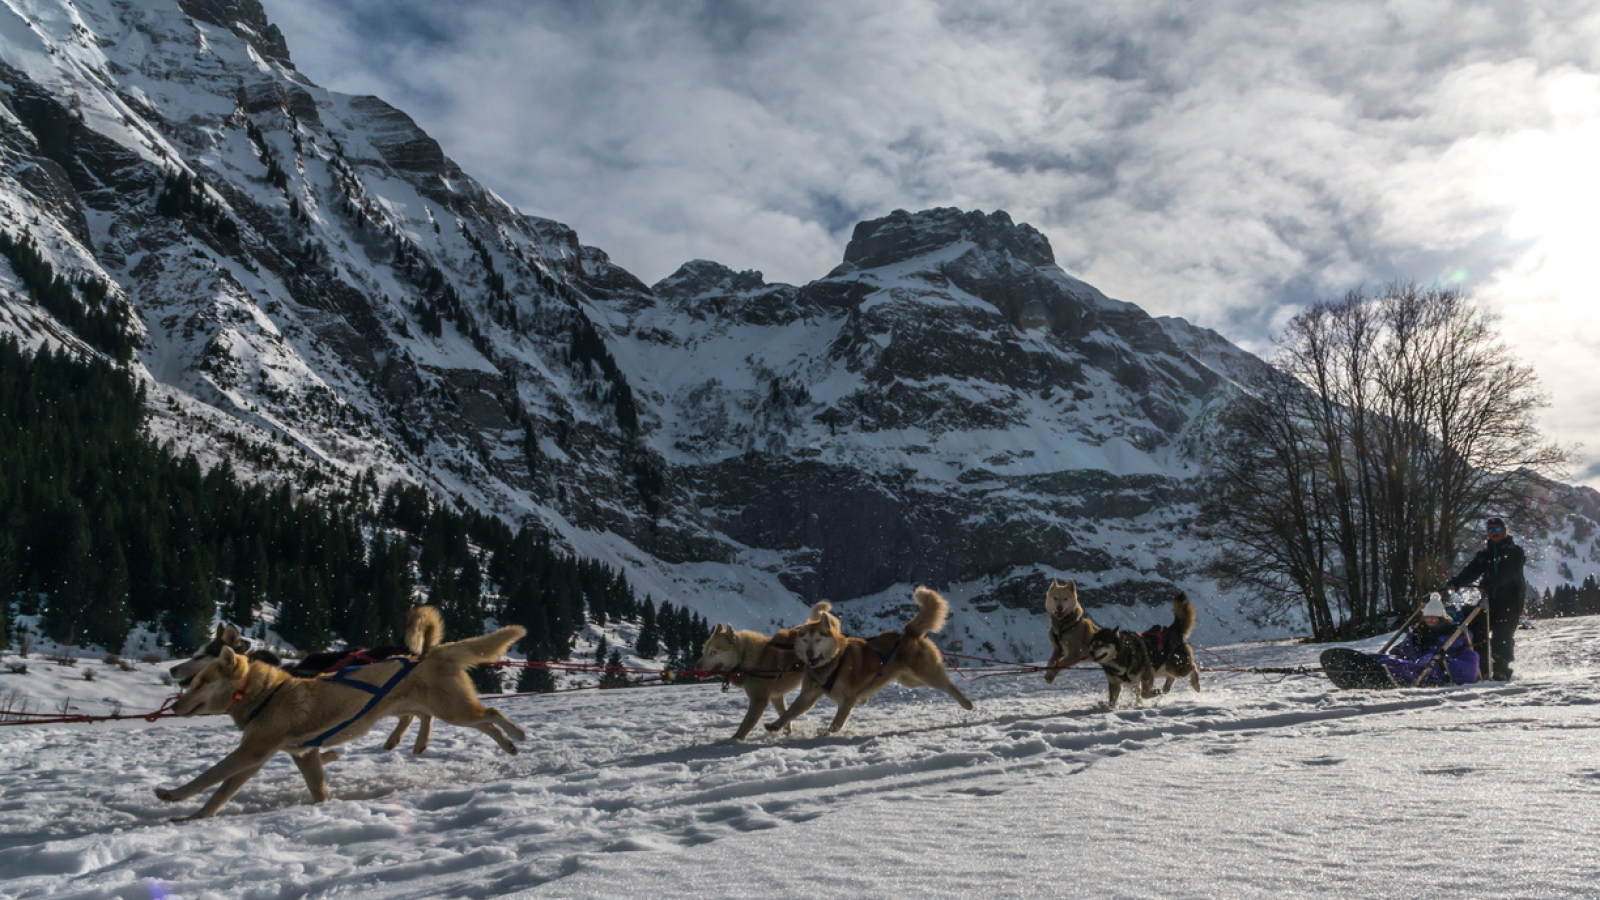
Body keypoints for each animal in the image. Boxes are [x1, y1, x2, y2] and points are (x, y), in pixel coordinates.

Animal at [152, 621, 524, 816]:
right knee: (461, 720)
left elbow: (208, 776)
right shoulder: (291, 755)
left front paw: (174, 796)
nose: (174, 705)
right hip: (425, 708)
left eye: (201, 680)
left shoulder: (252, 751)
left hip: (453, 710)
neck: (267, 692)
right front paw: (197, 817)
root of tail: (428, 655)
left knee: (491, 713)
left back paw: (515, 734)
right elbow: (223, 792)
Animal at [167, 602, 444, 749]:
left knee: (420, 714)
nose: (171, 669)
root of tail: (412, 650)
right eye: (195, 653)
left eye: (201, 657)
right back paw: (395, 740)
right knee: (411, 715)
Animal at [764, 586, 972, 733]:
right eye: (805, 639)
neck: (833, 662)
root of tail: (908, 633)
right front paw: (776, 725)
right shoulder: (808, 694)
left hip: (927, 674)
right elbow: (790, 712)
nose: (809, 653)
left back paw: (966, 703)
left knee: (949, 686)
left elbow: (836, 723)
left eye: (818, 639)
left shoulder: (848, 698)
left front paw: (826, 735)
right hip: (911, 680)